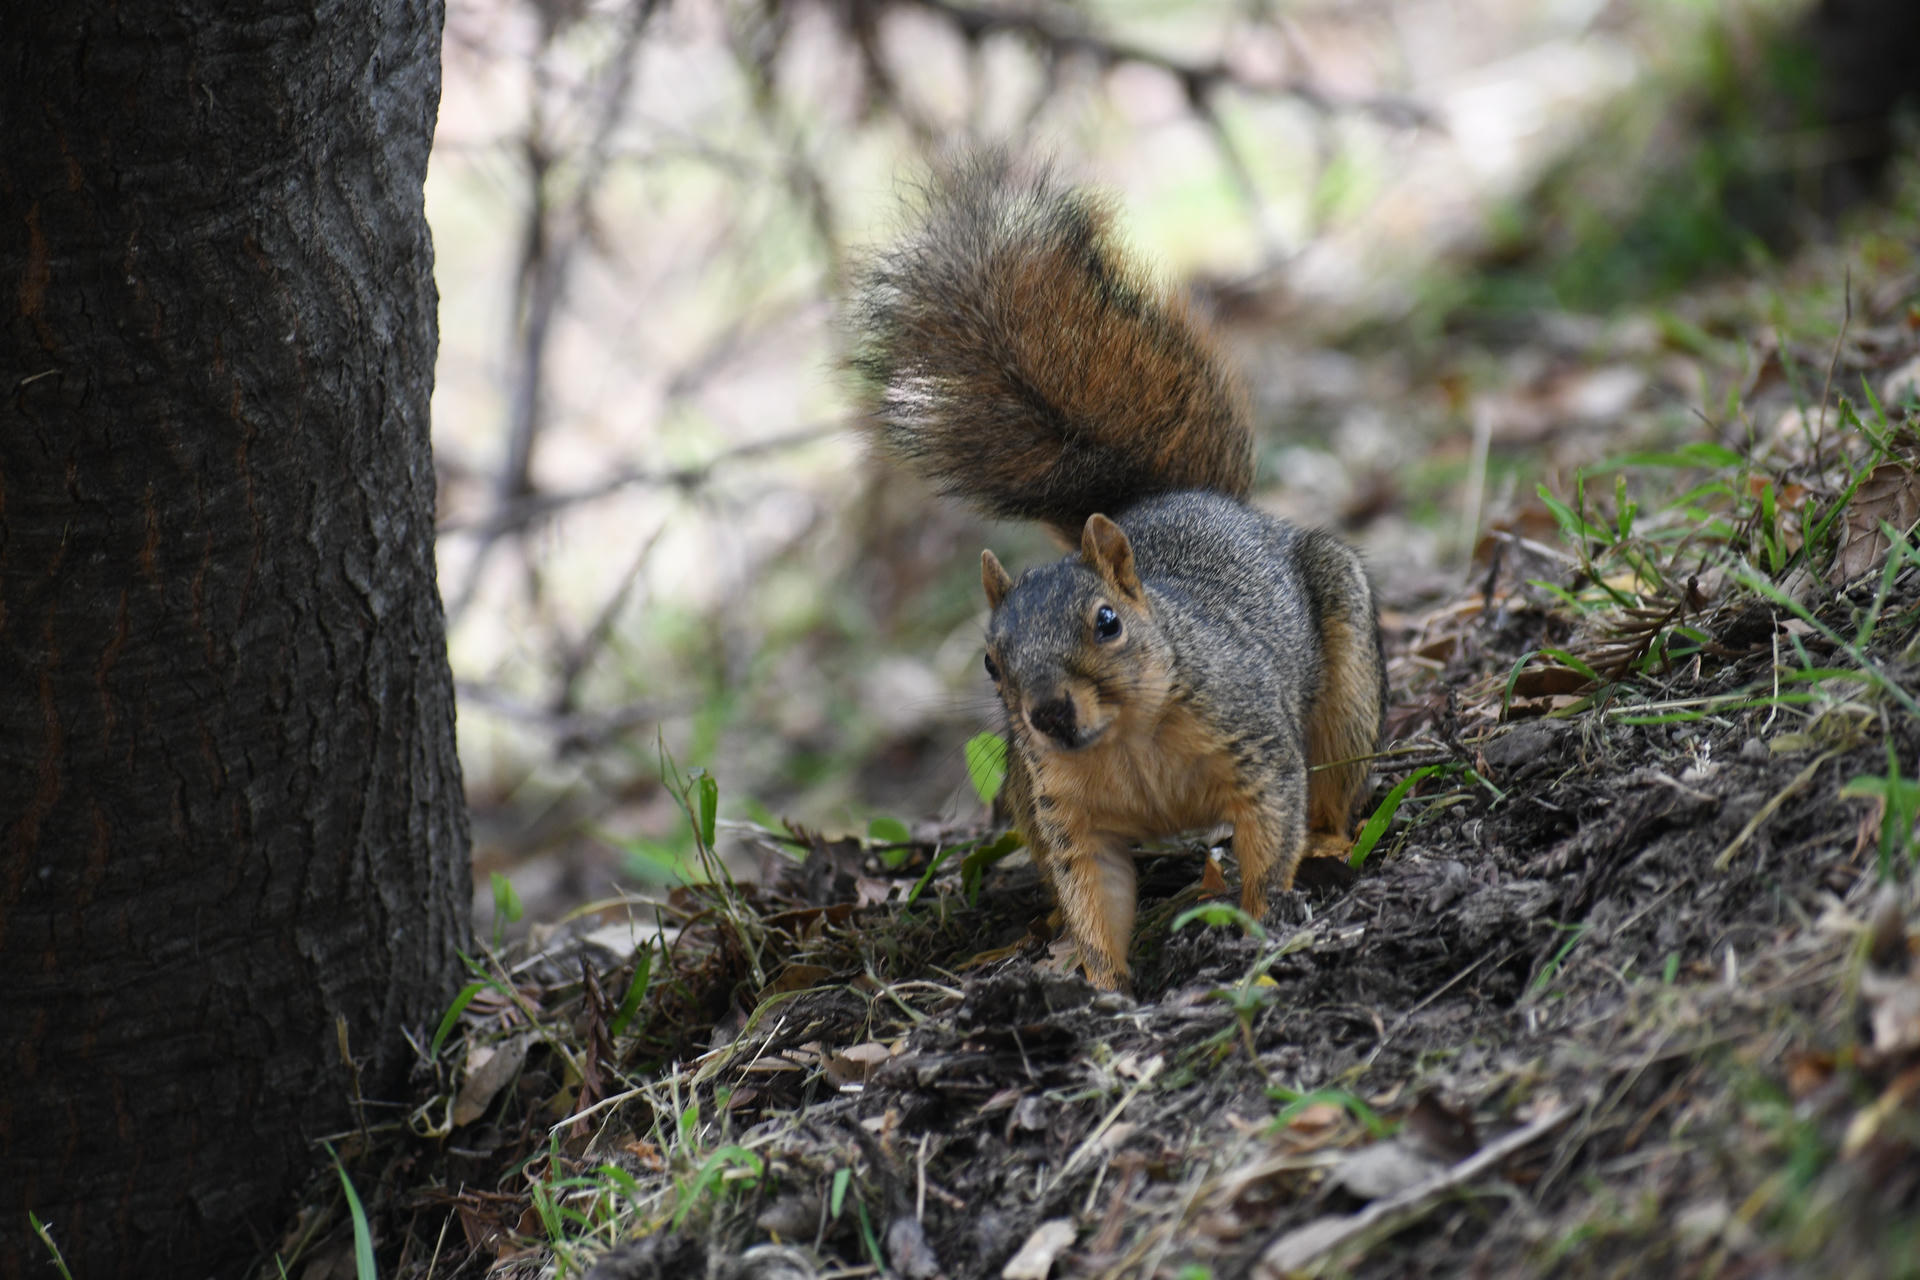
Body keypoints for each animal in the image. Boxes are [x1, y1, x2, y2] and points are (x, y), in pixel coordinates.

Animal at [850, 152, 1386, 992]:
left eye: (1107, 622)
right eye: (989, 663)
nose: (1048, 713)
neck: (1124, 740)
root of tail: (1178, 501)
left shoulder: (1253, 742)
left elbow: (1270, 827)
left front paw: (1258, 927)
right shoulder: (1069, 816)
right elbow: (1094, 894)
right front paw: (1104, 985)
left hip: (1346, 678)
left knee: (1332, 778)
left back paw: (1331, 840)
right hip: (1021, 790)